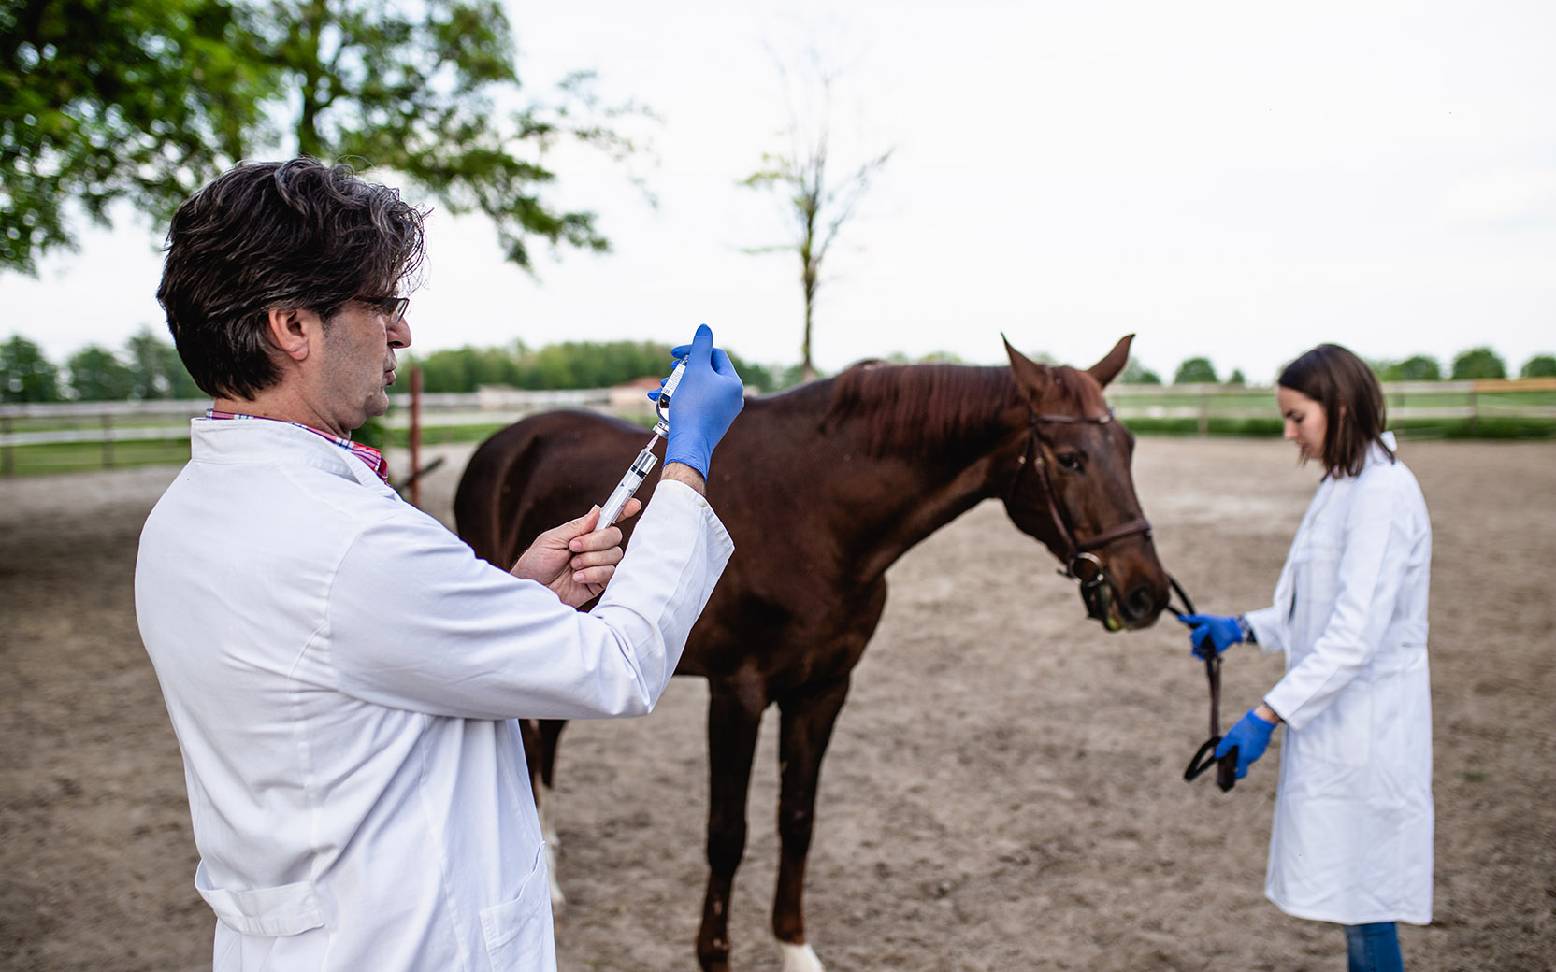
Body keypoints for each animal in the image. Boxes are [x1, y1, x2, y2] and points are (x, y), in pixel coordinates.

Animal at [453, 336, 1172, 971]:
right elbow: (728, 835)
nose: (1147, 593)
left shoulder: (825, 688)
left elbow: (797, 820)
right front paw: (714, 955)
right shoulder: (737, 693)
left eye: (1131, 447)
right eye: (1071, 458)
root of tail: (506, 444)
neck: (817, 509)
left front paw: (795, 949)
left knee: (547, 739)